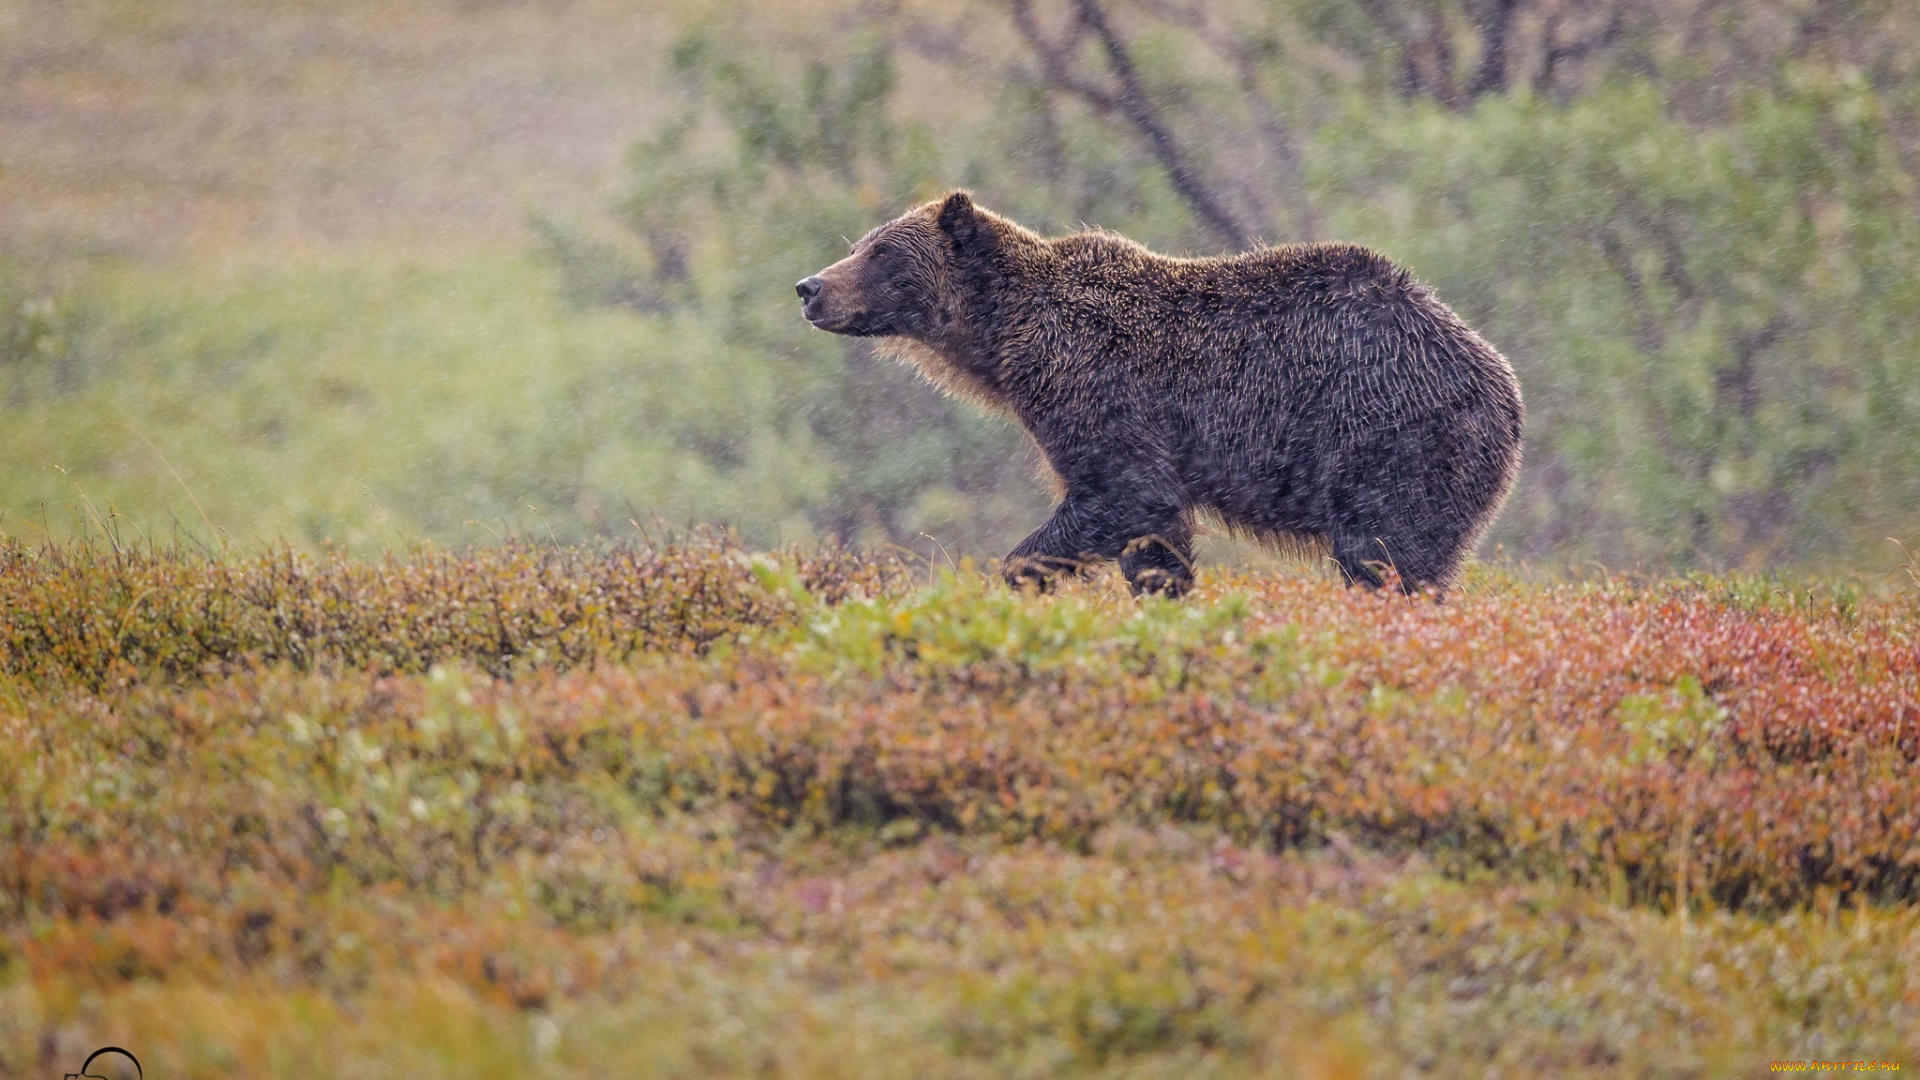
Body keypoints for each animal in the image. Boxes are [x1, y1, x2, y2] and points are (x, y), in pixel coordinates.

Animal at [791, 193, 1512, 595]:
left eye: (883, 251)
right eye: (860, 243)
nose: (809, 287)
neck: (1007, 342)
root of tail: (1502, 383)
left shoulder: (1100, 389)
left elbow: (1124, 493)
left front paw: (1018, 574)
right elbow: (1156, 539)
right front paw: (1163, 596)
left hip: (1395, 440)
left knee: (1387, 555)